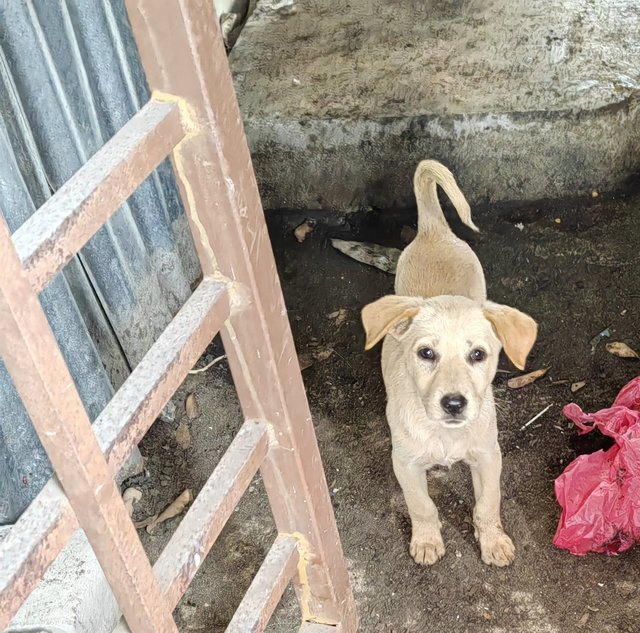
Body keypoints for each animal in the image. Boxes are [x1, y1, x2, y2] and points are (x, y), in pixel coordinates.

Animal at [362, 160, 536, 564]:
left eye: (478, 355)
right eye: (426, 353)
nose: (454, 403)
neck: (446, 433)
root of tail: (433, 230)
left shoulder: (489, 456)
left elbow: (488, 504)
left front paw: (493, 541)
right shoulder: (405, 464)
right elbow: (422, 505)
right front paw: (427, 540)